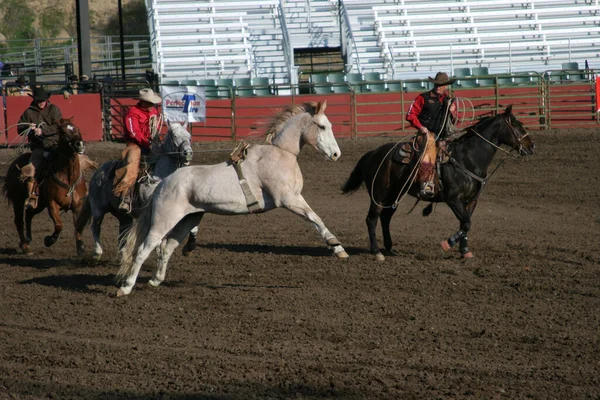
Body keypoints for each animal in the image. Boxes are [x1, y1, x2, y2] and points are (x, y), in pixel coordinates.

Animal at [2, 119, 91, 256]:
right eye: (63, 132)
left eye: (78, 129)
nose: (79, 144)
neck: (68, 177)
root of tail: (14, 164)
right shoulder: (52, 204)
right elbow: (59, 225)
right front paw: (49, 240)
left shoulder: (77, 206)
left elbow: (78, 227)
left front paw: (81, 248)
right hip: (18, 200)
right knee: (19, 221)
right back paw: (25, 247)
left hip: (39, 204)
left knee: (29, 214)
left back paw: (28, 240)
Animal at [79, 122, 192, 260]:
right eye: (174, 135)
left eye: (189, 136)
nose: (188, 153)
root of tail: (98, 172)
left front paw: (189, 248)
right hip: (98, 208)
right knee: (95, 227)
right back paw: (97, 253)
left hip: (123, 215)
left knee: (122, 232)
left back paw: (122, 254)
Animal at [342, 104, 536, 260]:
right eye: (516, 124)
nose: (532, 146)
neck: (468, 158)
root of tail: (371, 154)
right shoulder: (453, 199)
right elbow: (466, 224)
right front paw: (447, 244)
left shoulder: (471, 201)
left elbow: (466, 224)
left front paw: (465, 251)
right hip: (379, 194)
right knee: (372, 219)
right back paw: (376, 252)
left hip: (395, 194)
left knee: (385, 217)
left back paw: (389, 247)